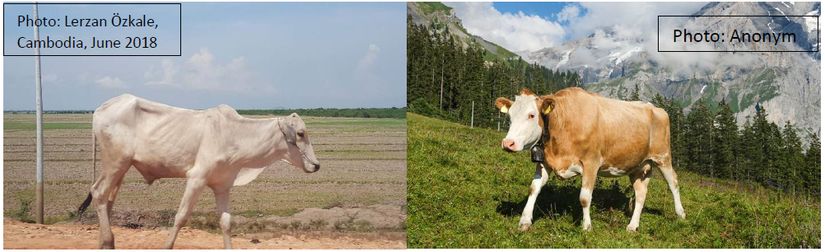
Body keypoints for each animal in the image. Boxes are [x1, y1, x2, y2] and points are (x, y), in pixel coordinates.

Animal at [76, 94, 322, 248]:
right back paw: (107, 241)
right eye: (300, 133)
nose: (316, 165)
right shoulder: (196, 179)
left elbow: (226, 222)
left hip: (120, 168)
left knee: (107, 201)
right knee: (98, 193)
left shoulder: (222, 187)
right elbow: (181, 217)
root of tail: (100, 109)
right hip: (115, 162)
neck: (235, 135)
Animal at [496, 87, 684, 231]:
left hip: (663, 156)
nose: (508, 143)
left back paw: (680, 214)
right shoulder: (544, 161)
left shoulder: (591, 163)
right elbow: (533, 189)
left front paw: (586, 226)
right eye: (510, 116)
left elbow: (585, 198)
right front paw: (525, 221)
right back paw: (632, 226)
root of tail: (655, 108)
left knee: (673, 182)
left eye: (532, 115)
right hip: (638, 166)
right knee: (641, 193)